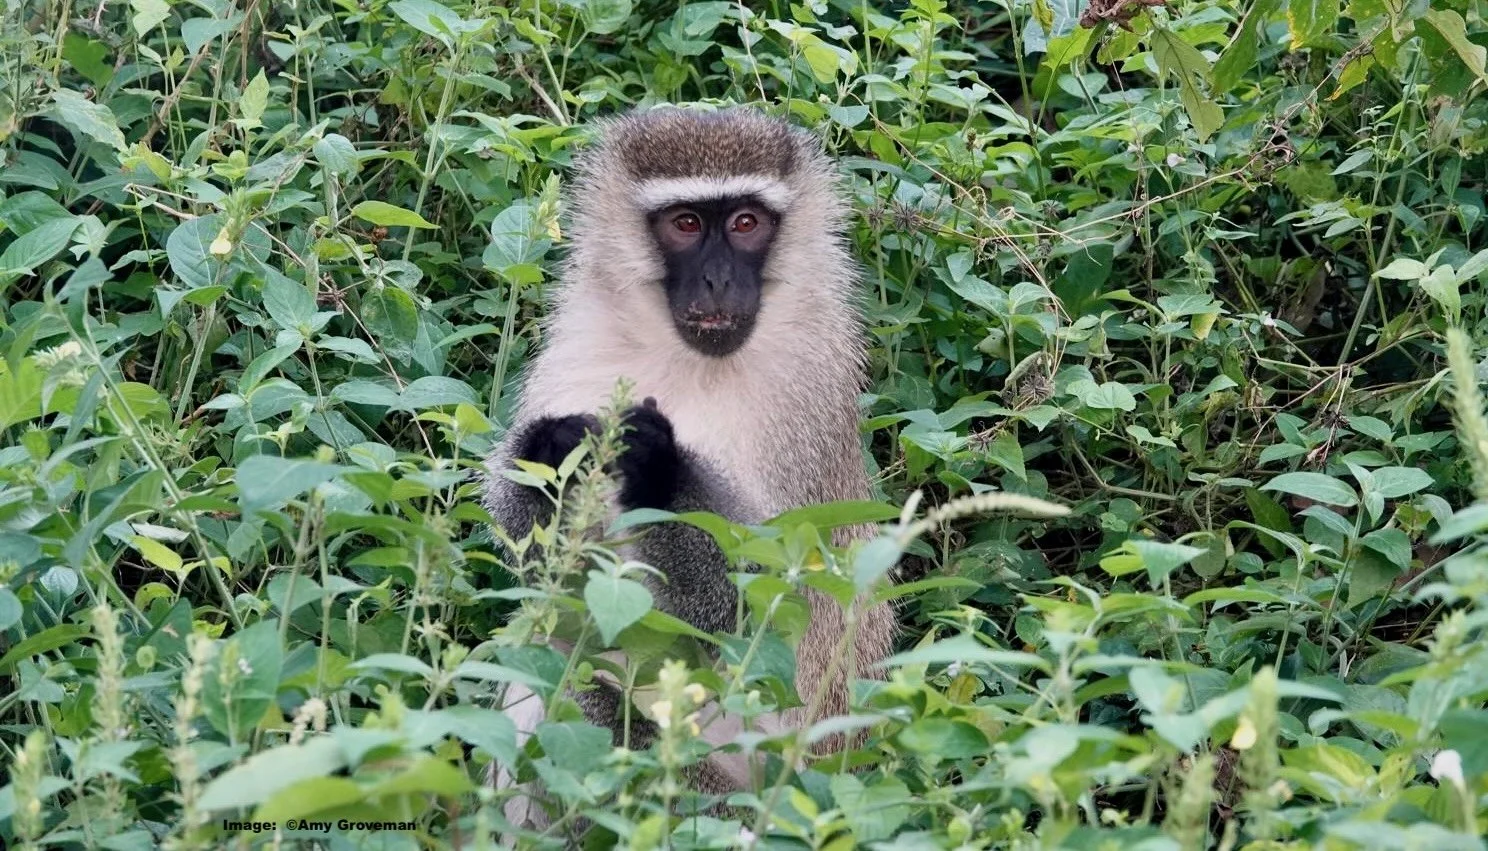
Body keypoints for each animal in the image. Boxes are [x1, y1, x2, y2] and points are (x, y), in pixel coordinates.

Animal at [480, 106, 896, 832]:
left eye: (746, 223)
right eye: (685, 224)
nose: (718, 280)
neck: (688, 362)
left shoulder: (805, 400)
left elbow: (763, 598)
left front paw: (659, 464)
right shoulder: (578, 356)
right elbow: (543, 567)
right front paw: (548, 445)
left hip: (715, 800)